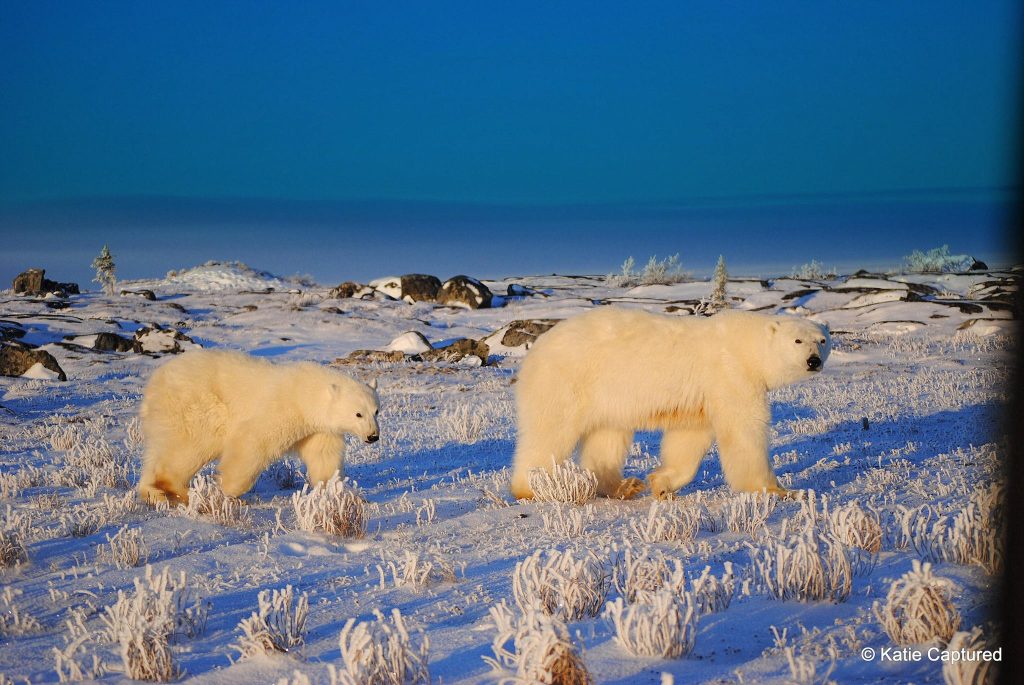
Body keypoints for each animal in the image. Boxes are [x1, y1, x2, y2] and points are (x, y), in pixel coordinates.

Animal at [138, 349, 380, 504]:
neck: (306, 393)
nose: (373, 436)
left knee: (158, 450)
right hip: (196, 406)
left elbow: (324, 458)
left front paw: (340, 494)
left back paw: (153, 492)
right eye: (358, 413)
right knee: (193, 445)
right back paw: (183, 491)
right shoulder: (282, 408)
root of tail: (155, 382)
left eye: (376, 411)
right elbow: (252, 442)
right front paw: (226, 490)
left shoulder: (319, 429)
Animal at [509, 308, 831, 500]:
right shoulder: (730, 375)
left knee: (606, 438)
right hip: (567, 381)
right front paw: (780, 490)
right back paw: (531, 487)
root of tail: (536, 348)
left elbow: (689, 439)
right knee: (550, 431)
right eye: (798, 341)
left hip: (607, 397)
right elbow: (744, 431)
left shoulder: (701, 400)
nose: (813, 361)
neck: (747, 347)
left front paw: (661, 483)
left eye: (822, 340)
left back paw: (624, 486)